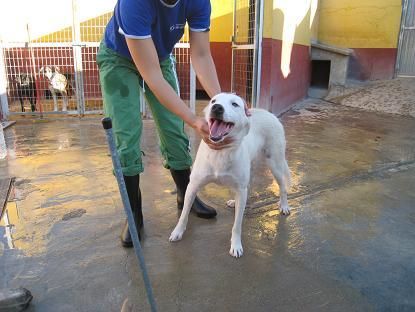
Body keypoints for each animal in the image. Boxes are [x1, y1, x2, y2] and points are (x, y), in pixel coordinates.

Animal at [171, 92, 290, 258]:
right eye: (213, 101)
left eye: (235, 104)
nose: (217, 108)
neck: (220, 151)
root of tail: (268, 113)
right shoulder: (193, 185)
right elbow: (184, 214)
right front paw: (177, 232)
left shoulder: (240, 190)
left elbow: (237, 225)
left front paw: (236, 245)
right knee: (248, 186)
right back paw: (235, 201)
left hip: (275, 163)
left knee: (282, 186)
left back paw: (284, 205)